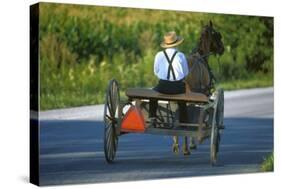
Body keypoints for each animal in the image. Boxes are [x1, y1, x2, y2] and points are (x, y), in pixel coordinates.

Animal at [171, 20, 223, 155]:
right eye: (218, 35)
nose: (222, 49)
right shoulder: (203, 94)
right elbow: (197, 116)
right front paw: (193, 143)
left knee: (176, 118)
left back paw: (176, 144)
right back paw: (186, 148)